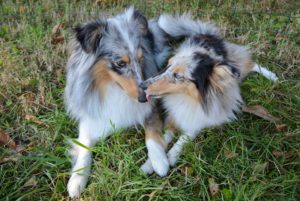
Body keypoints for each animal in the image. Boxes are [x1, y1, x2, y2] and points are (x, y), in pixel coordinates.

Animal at [63, 7, 171, 196]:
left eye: (141, 60)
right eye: (120, 63)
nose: (144, 98)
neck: (113, 87)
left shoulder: (152, 108)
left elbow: (151, 131)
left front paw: (159, 161)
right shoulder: (90, 116)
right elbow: (84, 146)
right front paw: (77, 179)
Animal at [139, 13, 278, 174]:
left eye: (178, 76)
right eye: (168, 66)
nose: (141, 86)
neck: (189, 98)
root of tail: (206, 35)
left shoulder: (202, 119)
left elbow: (186, 136)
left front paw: (172, 155)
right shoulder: (175, 114)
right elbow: (164, 136)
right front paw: (152, 163)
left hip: (237, 67)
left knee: (252, 64)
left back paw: (272, 77)